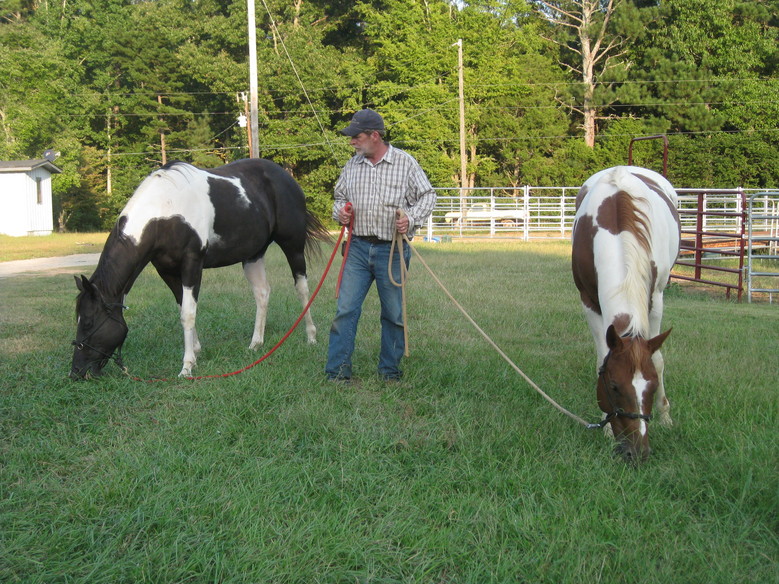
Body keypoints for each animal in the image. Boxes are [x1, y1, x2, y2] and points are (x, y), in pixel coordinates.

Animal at [70, 158, 331, 379]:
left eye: (88, 323)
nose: (77, 372)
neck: (164, 210)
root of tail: (286, 177)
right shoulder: (166, 270)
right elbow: (182, 307)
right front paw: (195, 351)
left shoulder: (192, 264)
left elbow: (188, 312)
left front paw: (186, 366)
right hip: (253, 255)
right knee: (262, 293)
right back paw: (256, 343)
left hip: (293, 246)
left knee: (302, 288)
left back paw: (311, 336)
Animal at [571, 166, 680, 462]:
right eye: (613, 387)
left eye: (651, 387)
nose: (637, 451)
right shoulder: (588, 301)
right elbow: (601, 357)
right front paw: (607, 429)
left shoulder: (656, 298)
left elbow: (658, 359)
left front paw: (665, 415)